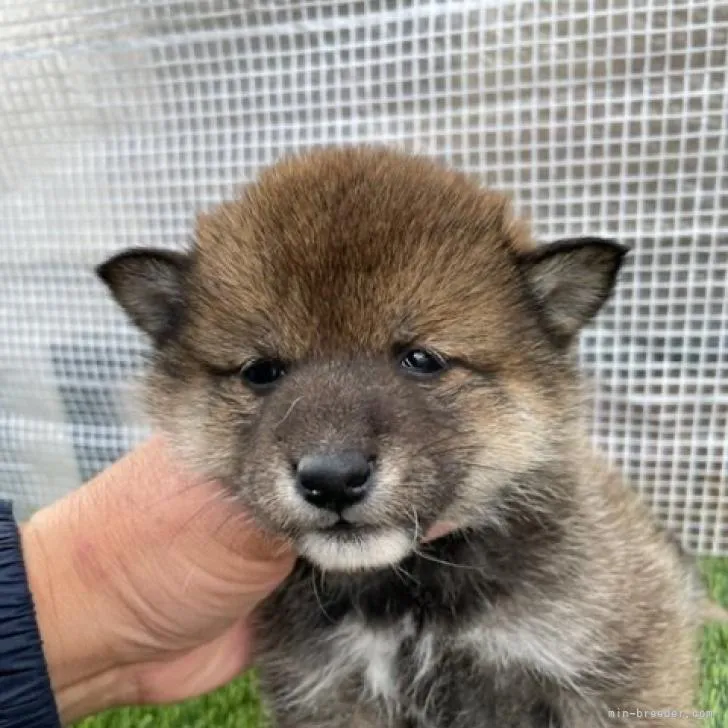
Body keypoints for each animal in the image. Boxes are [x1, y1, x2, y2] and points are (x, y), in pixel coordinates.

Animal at [96, 145, 700, 724]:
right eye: (261, 371)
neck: (405, 602)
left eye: (421, 359)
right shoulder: (329, 694)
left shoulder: (611, 670)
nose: (332, 479)